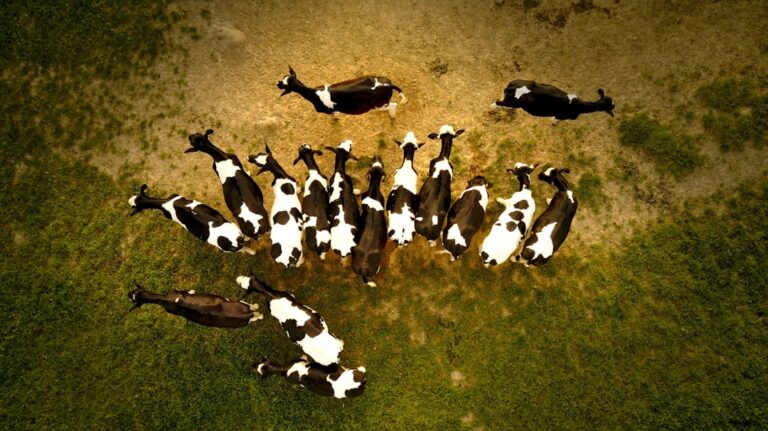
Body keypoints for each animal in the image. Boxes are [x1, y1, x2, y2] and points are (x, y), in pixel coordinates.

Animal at [128, 283, 262, 328]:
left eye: (135, 291)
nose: (128, 293)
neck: (164, 299)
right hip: (240, 309)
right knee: (255, 312)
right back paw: (257, 308)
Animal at [276, 66, 406, 118]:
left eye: (284, 84)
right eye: (284, 77)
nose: (277, 83)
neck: (314, 94)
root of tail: (388, 84)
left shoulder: (329, 110)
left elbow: (335, 114)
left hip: (379, 105)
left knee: (393, 105)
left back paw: (392, 115)